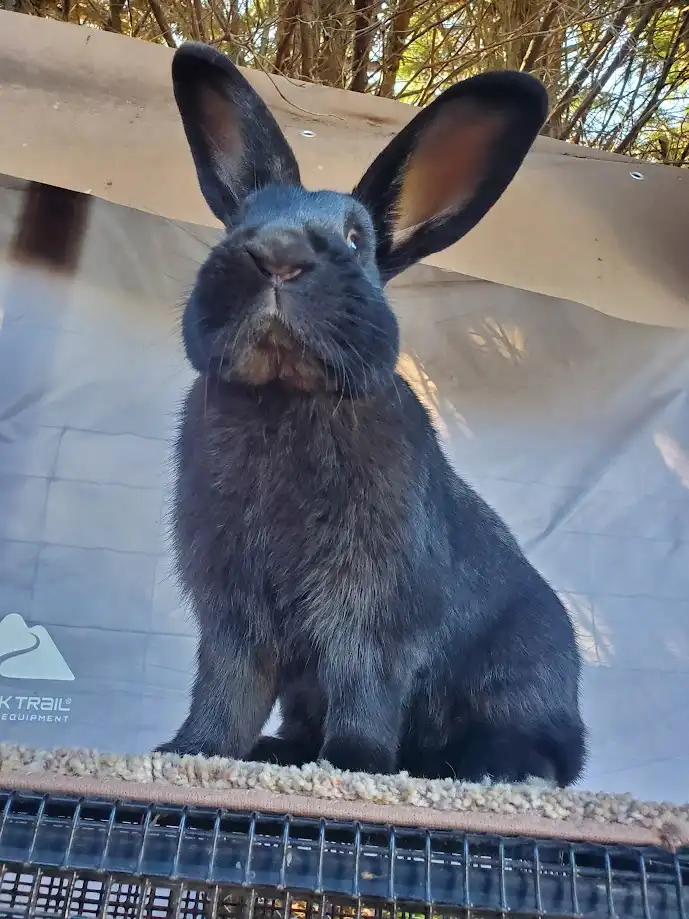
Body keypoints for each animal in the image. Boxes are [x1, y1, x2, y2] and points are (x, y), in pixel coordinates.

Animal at [156, 41, 587, 786]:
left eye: (356, 239)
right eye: (239, 221)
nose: (277, 254)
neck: (287, 396)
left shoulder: (373, 610)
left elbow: (364, 685)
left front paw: (351, 763)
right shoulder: (232, 610)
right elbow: (227, 686)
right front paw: (190, 752)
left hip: (520, 677)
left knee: (546, 754)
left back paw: (482, 767)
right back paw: (280, 751)